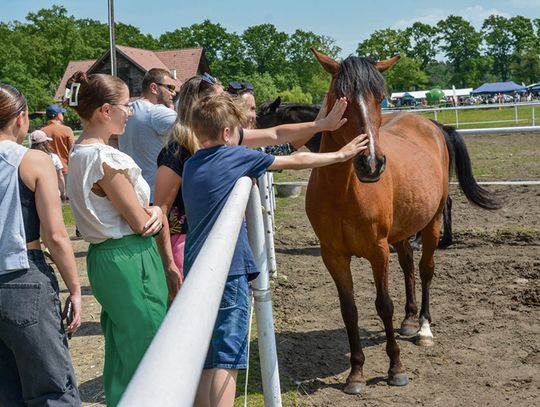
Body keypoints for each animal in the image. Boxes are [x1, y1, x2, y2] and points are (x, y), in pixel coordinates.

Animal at [306, 48, 500, 396]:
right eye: (340, 96)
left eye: (380, 96)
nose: (371, 163)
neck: (342, 191)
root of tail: (431, 124)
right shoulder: (334, 256)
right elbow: (349, 310)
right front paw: (356, 374)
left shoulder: (378, 251)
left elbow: (384, 304)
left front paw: (396, 368)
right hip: (402, 232)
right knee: (409, 267)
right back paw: (410, 321)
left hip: (432, 223)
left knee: (424, 271)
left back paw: (423, 328)